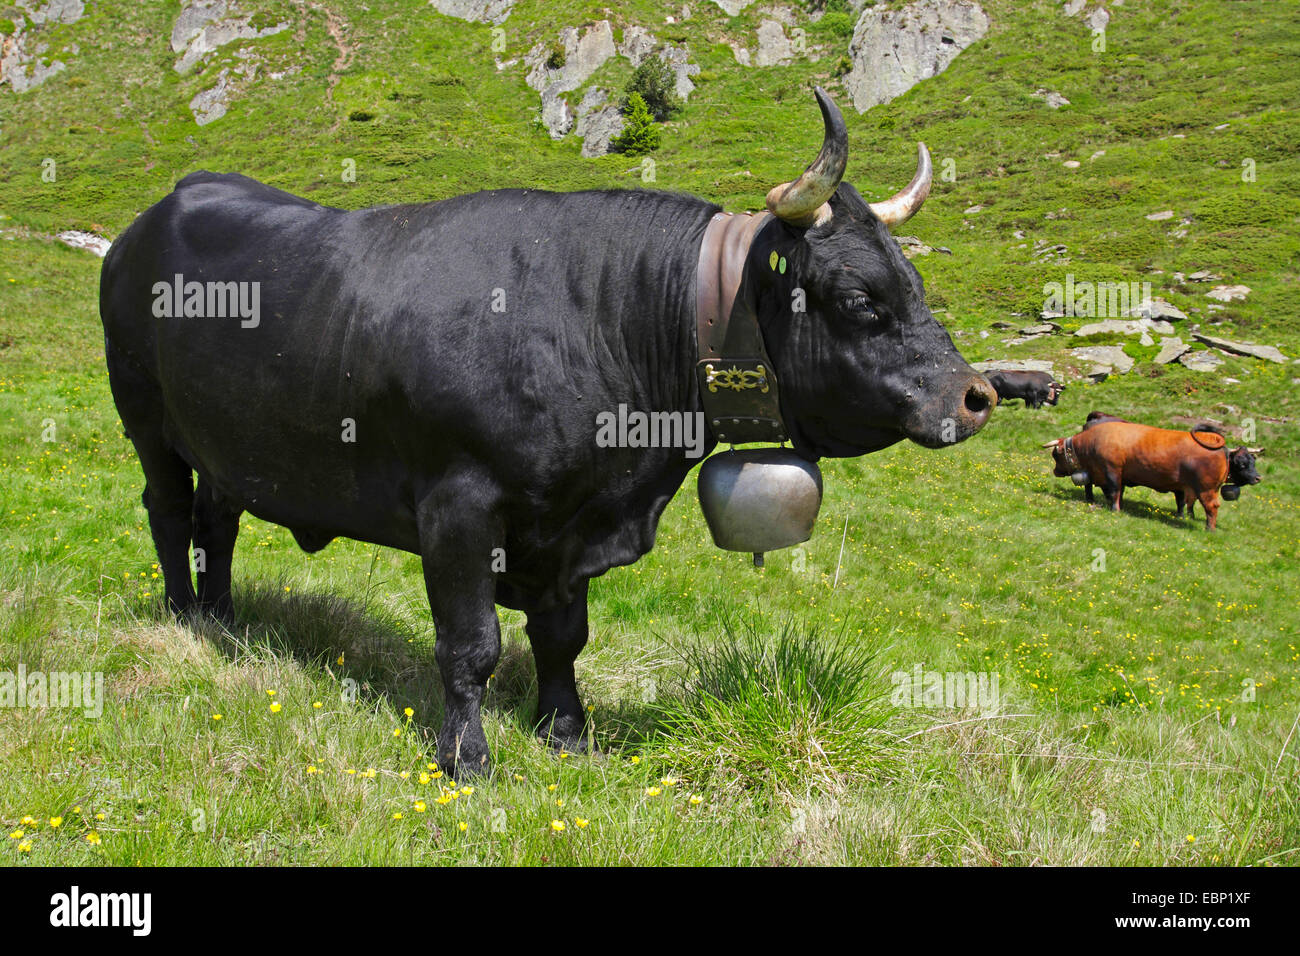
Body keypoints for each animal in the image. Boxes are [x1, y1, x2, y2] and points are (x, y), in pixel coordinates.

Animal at [101, 87, 993, 780]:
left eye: (913, 278)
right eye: (861, 299)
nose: (977, 395)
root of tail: (160, 209)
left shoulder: (571, 524)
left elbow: (565, 638)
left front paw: (566, 734)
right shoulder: (458, 509)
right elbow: (471, 645)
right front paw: (468, 759)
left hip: (228, 438)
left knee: (218, 517)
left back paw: (224, 618)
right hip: (146, 422)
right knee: (169, 511)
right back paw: (185, 617)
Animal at [1040, 424, 1242, 530]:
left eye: (1055, 455)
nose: (1055, 471)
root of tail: (1220, 445)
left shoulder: (1112, 471)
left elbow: (1114, 492)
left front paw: (1115, 509)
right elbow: (1118, 493)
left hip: (1206, 489)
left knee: (1212, 507)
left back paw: (1209, 529)